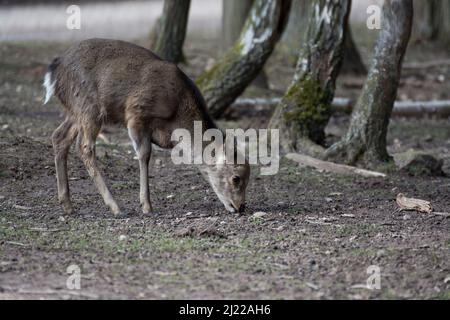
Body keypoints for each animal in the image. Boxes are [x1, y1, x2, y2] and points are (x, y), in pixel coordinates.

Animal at [44, 38, 250, 216]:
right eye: (236, 178)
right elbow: (144, 154)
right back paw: (115, 206)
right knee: (84, 147)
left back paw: (67, 204)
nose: (240, 207)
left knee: (59, 136)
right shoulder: (136, 112)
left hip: (74, 110)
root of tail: (53, 71)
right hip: (89, 105)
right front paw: (146, 205)